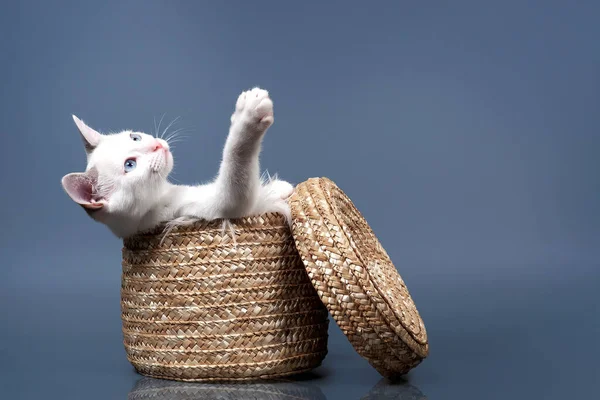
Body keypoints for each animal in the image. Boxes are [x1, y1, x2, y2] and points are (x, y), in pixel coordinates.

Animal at [61, 87, 296, 238]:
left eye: (135, 137)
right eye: (130, 165)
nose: (157, 146)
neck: (165, 193)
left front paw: (277, 187)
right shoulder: (218, 206)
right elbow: (237, 167)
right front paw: (247, 115)